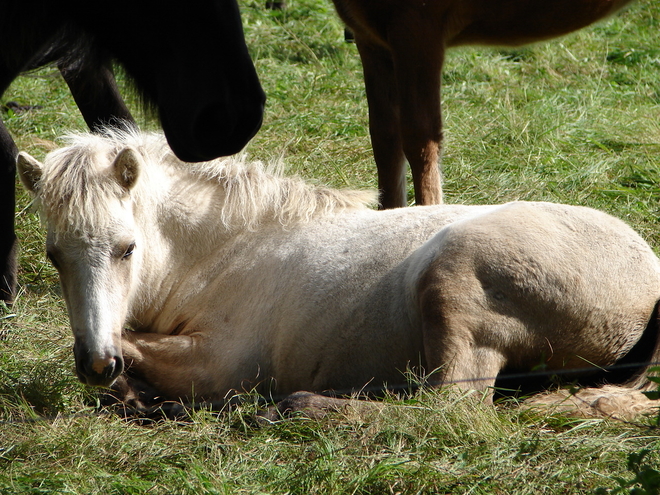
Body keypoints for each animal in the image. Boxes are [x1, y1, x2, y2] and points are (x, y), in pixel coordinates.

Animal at [18, 131, 660, 418]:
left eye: (126, 249)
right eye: (54, 256)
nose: (96, 364)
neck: (224, 253)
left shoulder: (218, 361)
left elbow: (140, 347)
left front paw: (141, 393)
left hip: (452, 279)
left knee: (445, 410)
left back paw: (303, 404)